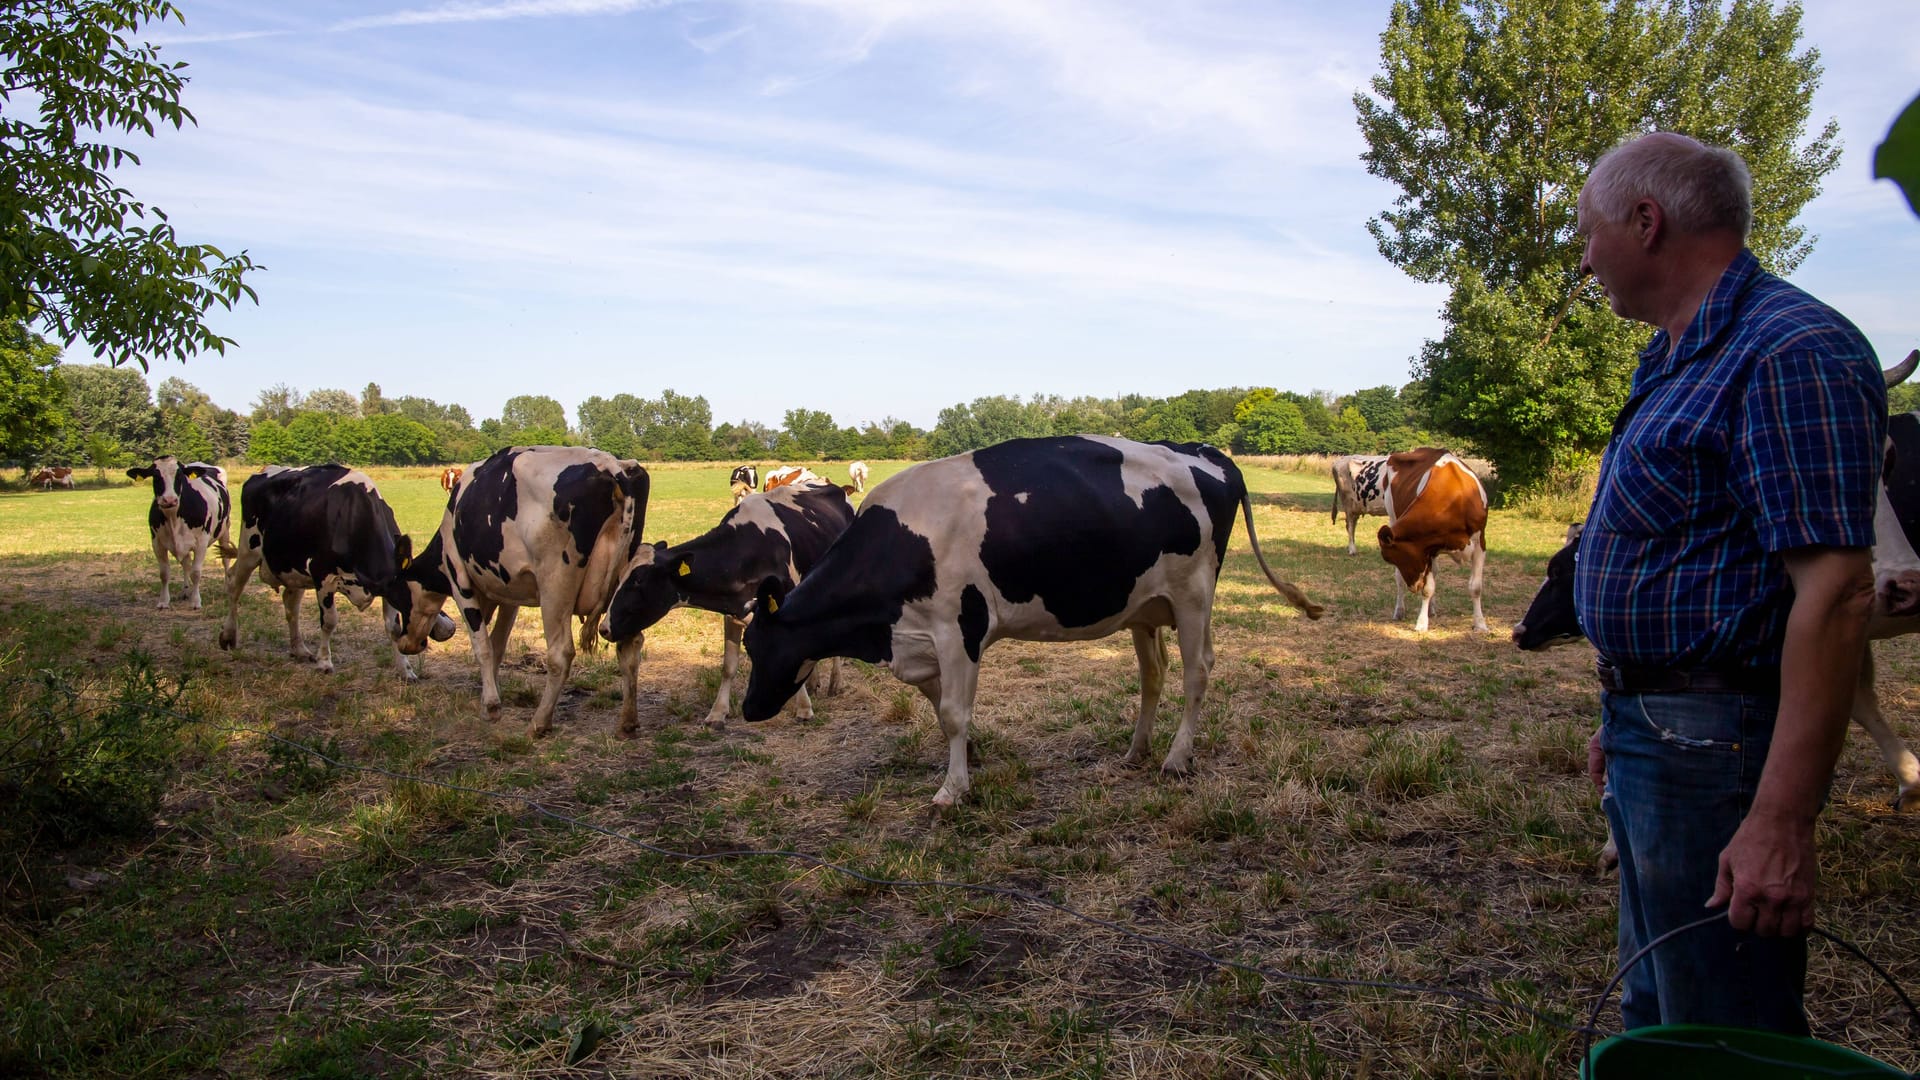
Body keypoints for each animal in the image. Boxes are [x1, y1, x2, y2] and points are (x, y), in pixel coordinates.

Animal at [128, 453, 237, 607]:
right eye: (155, 475)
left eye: (179, 475)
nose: (169, 499)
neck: (173, 517)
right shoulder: (157, 543)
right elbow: (164, 573)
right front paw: (163, 601)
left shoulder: (201, 542)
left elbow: (196, 573)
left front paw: (196, 601)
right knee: (186, 564)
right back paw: (186, 591)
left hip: (225, 529)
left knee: (225, 558)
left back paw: (227, 587)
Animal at [387, 441, 652, 734]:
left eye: (397, 594)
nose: (405, 643)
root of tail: (612, 467)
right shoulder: (509, 592)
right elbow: (498, 645)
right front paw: (490, 694)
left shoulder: (459, 580)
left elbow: (482, 646)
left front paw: (491, 706)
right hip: (625, 590)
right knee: (630, 647)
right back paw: (628, 720)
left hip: (555, 585)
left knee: (560, 654)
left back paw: (540, 722)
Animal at [599, 480, 856, 722]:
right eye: (620, 577)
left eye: (639, 581)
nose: (604, 628)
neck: (748, 551)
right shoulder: (733, 611)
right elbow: (728, 666)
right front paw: (717, 713)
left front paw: (803, 709)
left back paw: (835, 682)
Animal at [741, 432, 1328, 803]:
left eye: (762, 647)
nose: (747, 709)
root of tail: (1206, 454)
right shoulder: (920, 641)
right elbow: (939, 707)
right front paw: (969, 757)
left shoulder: (961, 628)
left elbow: (952, 712)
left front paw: (952, 790)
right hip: (1144, 606)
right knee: (1153, 674)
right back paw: (1136, 750)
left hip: (1194, 595)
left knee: (1197, 671)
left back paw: (1177, 757)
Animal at [1374, 445, 1489, 630]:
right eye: (1391, 560)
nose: (1414, 587)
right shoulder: (1428, 549)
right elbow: (1428, 589)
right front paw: (1421, 623)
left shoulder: (1480, 543)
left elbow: (1476, 587)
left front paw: (1480, 624)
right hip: (1392, 516)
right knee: (1401, 579)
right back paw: (1400, 610)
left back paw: (1431, 609)